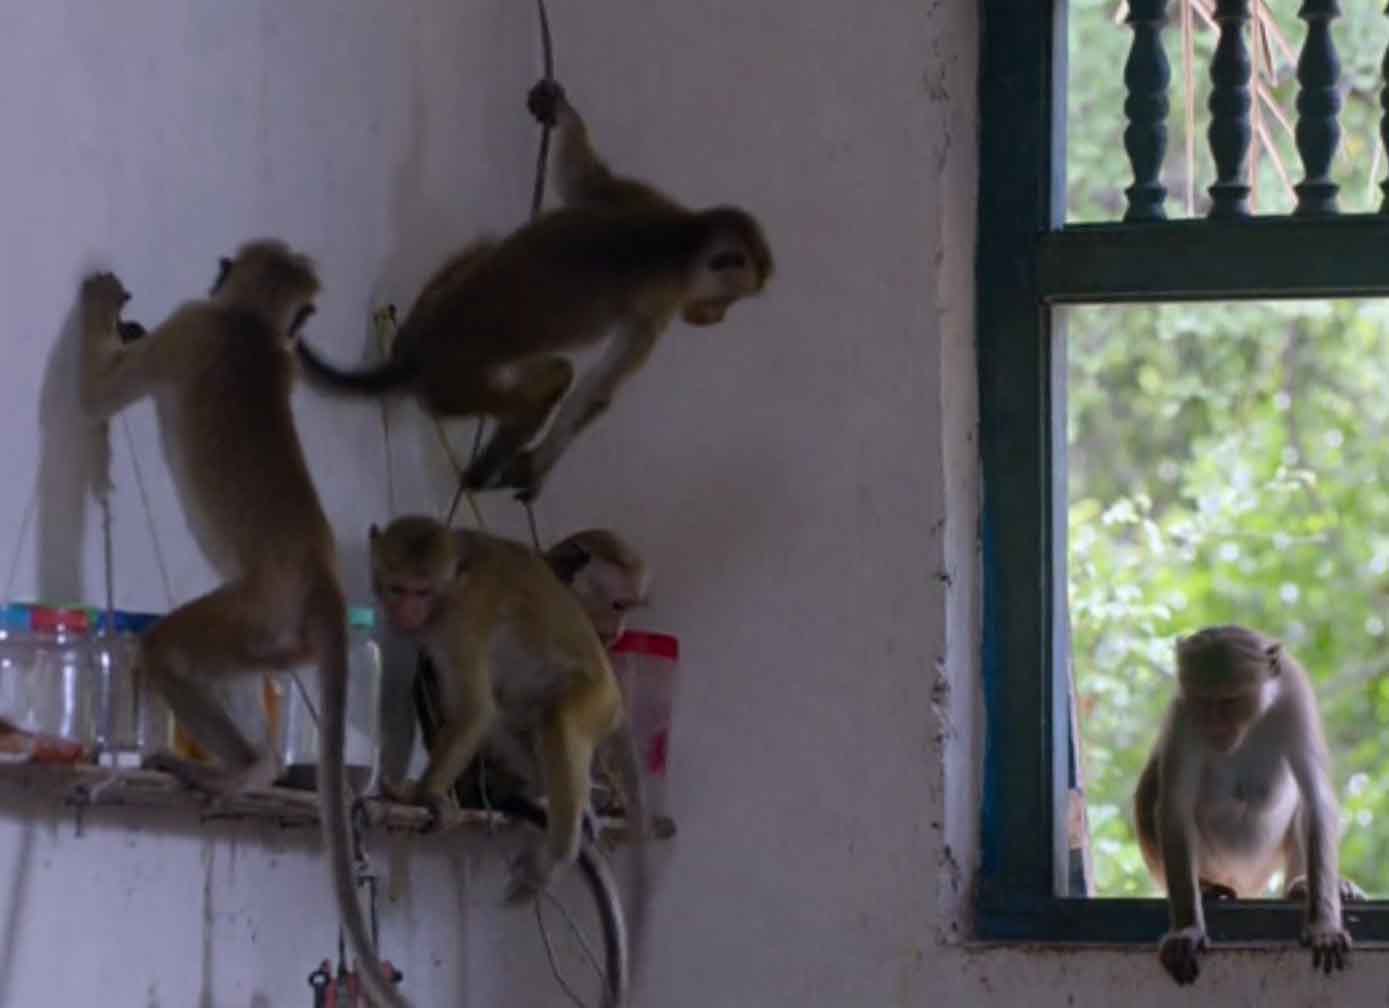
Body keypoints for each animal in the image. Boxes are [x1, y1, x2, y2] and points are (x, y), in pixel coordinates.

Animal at [79, 244, 405, 1008]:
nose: (214, 274)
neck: (253, 327)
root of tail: (322, 577)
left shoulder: (192, 326)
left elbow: (99, 393)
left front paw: (103, 309)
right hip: (272, 636)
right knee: (238, 671)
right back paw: (254, 761)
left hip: (254, 609)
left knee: (166, 649)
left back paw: (246, 768)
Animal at [295, 79, 772, 502]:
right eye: (727, 299)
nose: (716, 317)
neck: (683, 240)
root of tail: (419, 355)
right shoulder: (657, 306)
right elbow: (596, 393)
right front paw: (539, 467)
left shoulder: (640, 197)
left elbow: (582, 179)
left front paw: (560, 109)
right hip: (455, 386)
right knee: (541, 392)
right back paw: (488, 465)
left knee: (492, 264)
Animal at [369, 516, 650, 905]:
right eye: (397, 588)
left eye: (421, 592)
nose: (406, 611)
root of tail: (616, 699)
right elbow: (474, 708)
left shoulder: (460, 619)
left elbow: (473, 711)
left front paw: (423, 794)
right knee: (511, 718)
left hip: (594, 699)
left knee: (556, 718)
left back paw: (559, 851)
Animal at [1133, 624, 1361, 988]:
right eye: (1203, 700)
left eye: (1230, 700)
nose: (1214, 727)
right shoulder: (1184, 712)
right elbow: (1174, 809)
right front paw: (1187, 929)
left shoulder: (1294, 695)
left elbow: (1316, 798)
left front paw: (1324, 925)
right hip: (1212, 862)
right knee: (1153, 784)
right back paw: (1208, 888)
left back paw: (1300, 887)